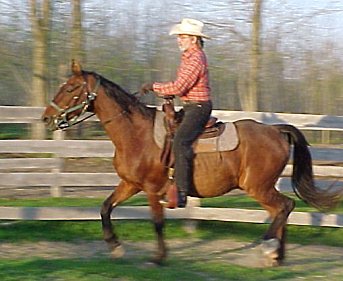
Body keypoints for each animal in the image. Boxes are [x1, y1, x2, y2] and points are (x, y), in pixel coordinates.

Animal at [41, 60, 342, 264]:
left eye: (70, 88)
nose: (46, 118)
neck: (136, 134)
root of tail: (276, 130)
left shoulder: (152, 189)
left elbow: (157, 222)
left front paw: (159, 257)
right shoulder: (130, 184)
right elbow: (105, 208)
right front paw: (115, 246)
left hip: (258, 187)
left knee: (285, 207)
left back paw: (269, 247)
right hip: (261, 189)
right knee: (281, 210)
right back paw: (277, 256)